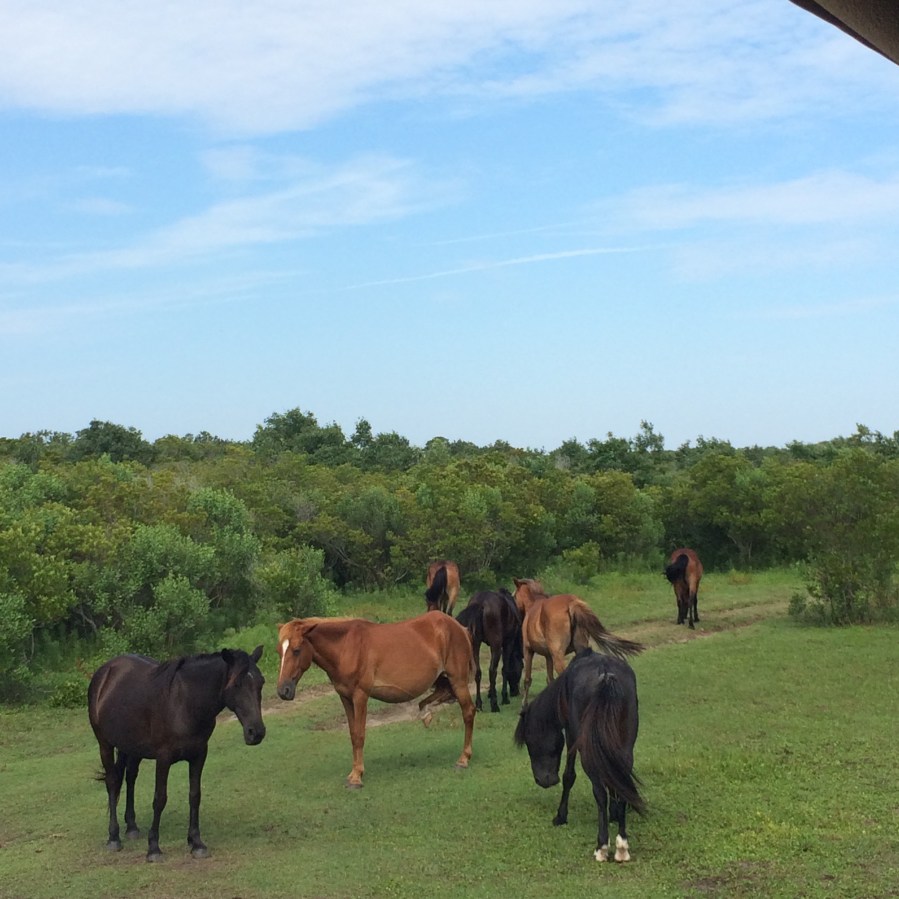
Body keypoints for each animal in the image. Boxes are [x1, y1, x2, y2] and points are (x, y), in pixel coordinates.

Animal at [87, 646, 266, 862]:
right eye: (236, 684)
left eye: (261, 682)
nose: (256, 732)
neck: (184, 702)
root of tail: (105, 672)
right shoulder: (163, 759)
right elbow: (160, 799)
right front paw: (154, 848)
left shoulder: (199, 755)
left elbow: (195, 795)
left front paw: (196, 843)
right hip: (105, 744)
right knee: (113, 782)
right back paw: (114, 837)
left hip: (131, 747)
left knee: (130, 778)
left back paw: (131, 827)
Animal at [276, 612, 476, 788]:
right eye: (279, 652)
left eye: (296, 650)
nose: (283, 691)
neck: (346, 647)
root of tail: (459, 627)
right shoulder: (345, 697)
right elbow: (352, 734)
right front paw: (354, 772)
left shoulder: (360, 696)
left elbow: (359, 735)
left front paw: (356, 777)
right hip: (443, 679)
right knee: (440, 696)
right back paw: (426, 714)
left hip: (458, 680)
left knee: (468, 712)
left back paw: (463, 759)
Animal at [512, 577, 643, 706]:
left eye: (514, 596)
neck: (533, 606)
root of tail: (571, 603)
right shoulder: (548, 656)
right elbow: (549, 679)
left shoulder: (528, 651)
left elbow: (528, 679)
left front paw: (524, 704)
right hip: (579, 649)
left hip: (558, 656)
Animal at [514, 648, 645, 863]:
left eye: (530, 743)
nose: (543, 780)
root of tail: (605, 673)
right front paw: (614, 814)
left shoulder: (571, 734)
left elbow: (569, 776)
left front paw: (561, 816)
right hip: (625, 746)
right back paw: (622, 846)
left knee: (599, 792)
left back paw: (602, 847)